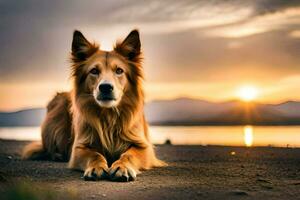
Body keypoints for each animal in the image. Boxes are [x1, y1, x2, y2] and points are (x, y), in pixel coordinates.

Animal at [21, 29, 166, 181]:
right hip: (58, 106)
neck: (108, 116)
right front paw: (97, 167)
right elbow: (95, 154)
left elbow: (128, 155)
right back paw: (58, 155)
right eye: (94, 71)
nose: (106, 87)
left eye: (119, 70)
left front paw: (122, 167)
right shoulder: (79, 147)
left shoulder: (143, 147)